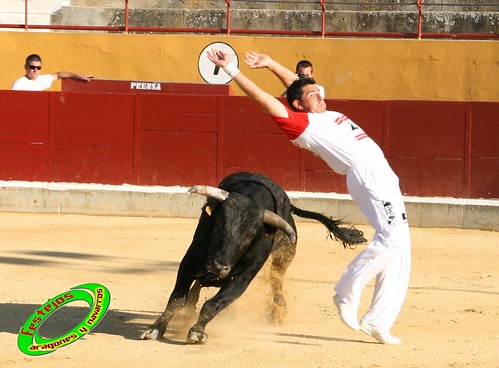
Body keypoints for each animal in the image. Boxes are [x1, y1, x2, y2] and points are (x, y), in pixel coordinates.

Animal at [141, 171, 368, 344]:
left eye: (250, 235)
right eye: (219, 223)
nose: (219, 266)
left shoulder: (242, 278)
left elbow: (214, 304)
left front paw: (197, 331)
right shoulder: (189, 262)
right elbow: (176, 299)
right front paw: (155, 329)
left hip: (284, 257)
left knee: (276, 280)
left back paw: (278, 313)